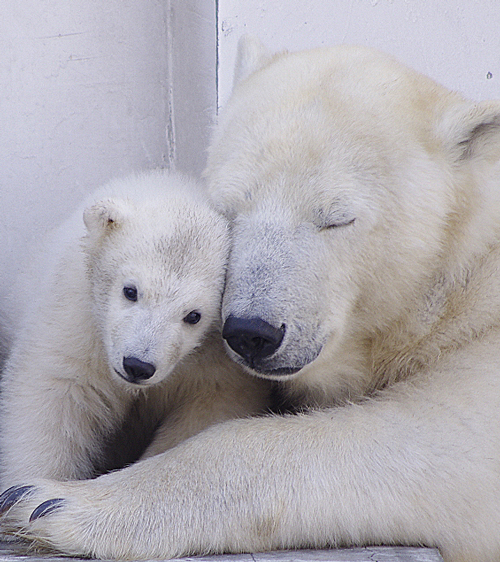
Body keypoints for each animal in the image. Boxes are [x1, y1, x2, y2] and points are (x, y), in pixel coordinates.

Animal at [0, 170, 270, 486]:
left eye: (194, 315)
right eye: (130, 291)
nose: (137, 366)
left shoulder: (215, 360)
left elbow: (209, 409)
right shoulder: (77, 317)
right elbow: (51, 401)